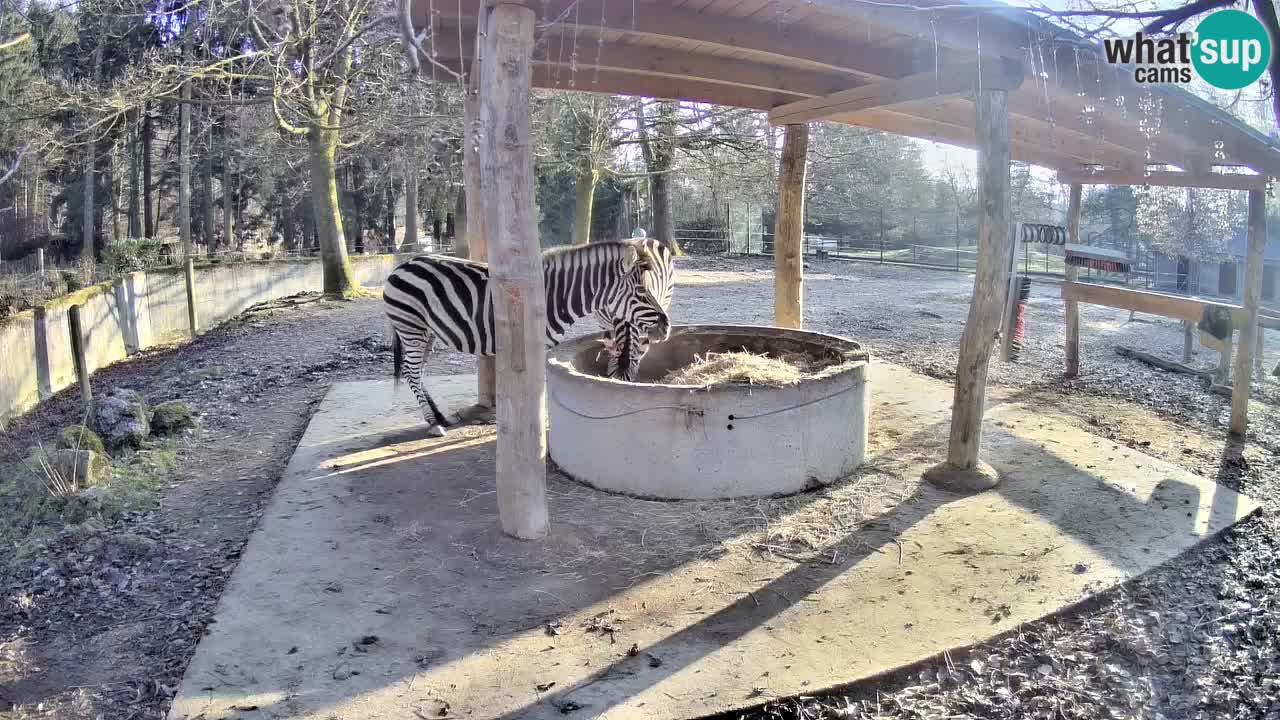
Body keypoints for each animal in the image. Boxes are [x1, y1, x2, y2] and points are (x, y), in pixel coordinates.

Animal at [381, 238, 675, 435]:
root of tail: (402, 266)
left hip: (426, 331)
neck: (553, 297)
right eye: (641, 291)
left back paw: (441, 417)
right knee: (410, 371)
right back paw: (433, 423)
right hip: (411, 326)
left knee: (417, 371)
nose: (667, 326)